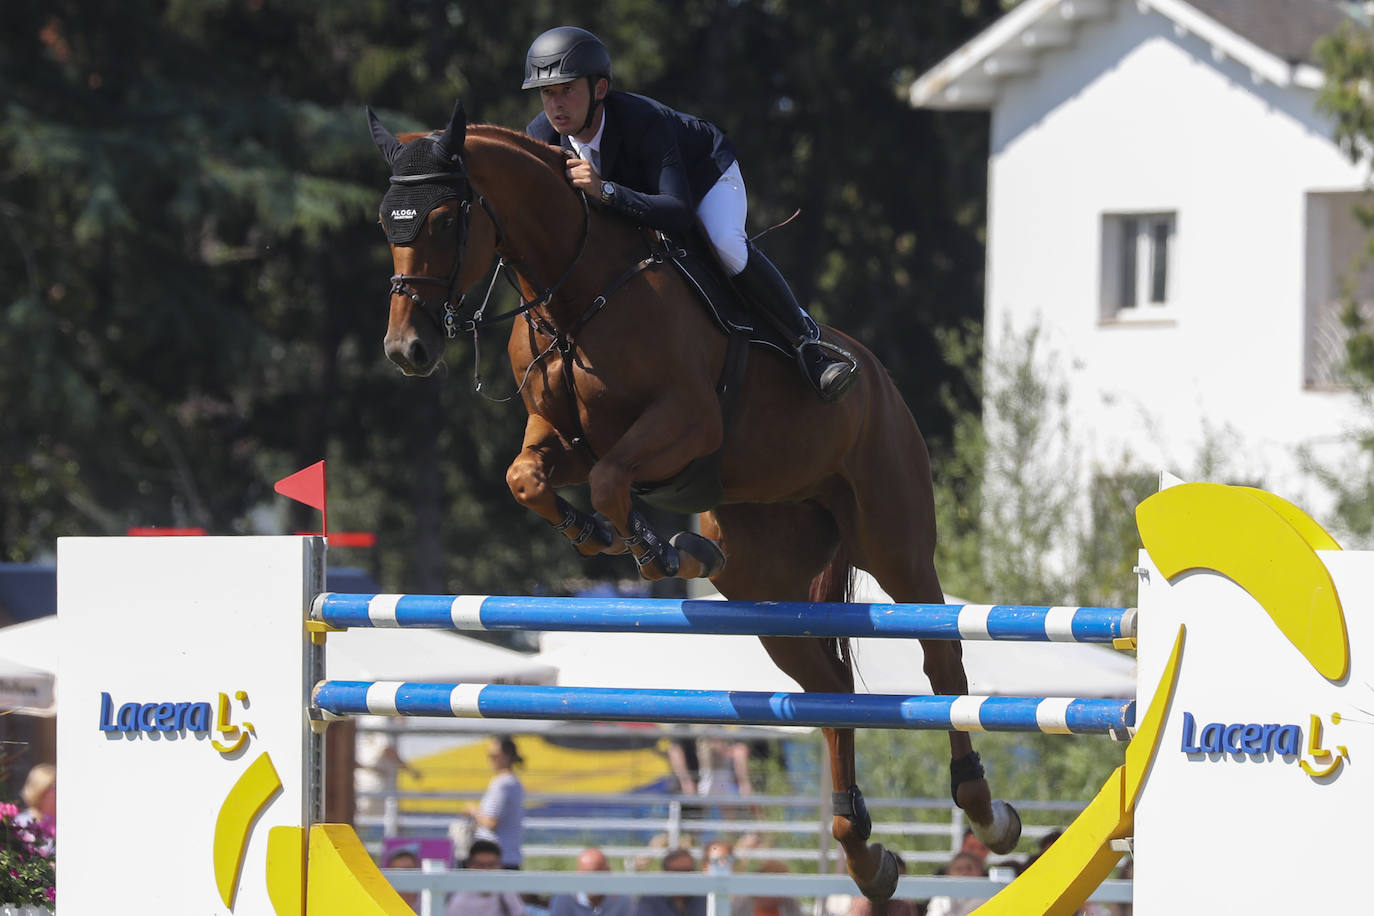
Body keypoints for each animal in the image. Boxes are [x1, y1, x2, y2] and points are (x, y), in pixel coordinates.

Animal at [368, 96, 1022, 900]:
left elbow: (614, 480)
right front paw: (604, 534)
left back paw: (986, 812)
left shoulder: (686, 421)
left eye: (442, 220)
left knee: (941, 658)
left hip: (892, 539)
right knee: (829, 687)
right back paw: (863, 852)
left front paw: (658, 548)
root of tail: (876, 375)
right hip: (768, 587)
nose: (407, 351)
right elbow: (531, 479)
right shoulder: (562, 438)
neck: (580, 292)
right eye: (386, 223)